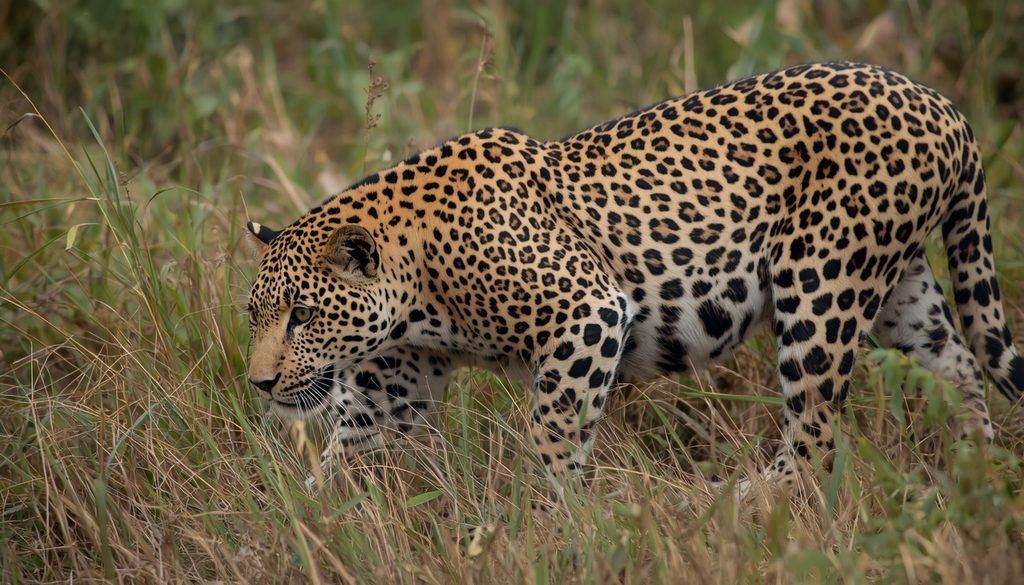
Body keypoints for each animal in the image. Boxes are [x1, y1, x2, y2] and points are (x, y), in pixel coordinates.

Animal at [244, 61, 1024, 497]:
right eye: (257, 314)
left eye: (302, 314)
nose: (259, 382)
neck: (417, 287)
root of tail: (942, 104)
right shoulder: (396, 383)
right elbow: (344, 450)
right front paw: (303, 516)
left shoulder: (585, 313)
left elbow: (554, 430)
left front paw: (555, 516)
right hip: (899, 288)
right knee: (958, 363)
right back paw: (974, 471)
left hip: (823, 285)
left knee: (815, 433)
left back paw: (740, 501)